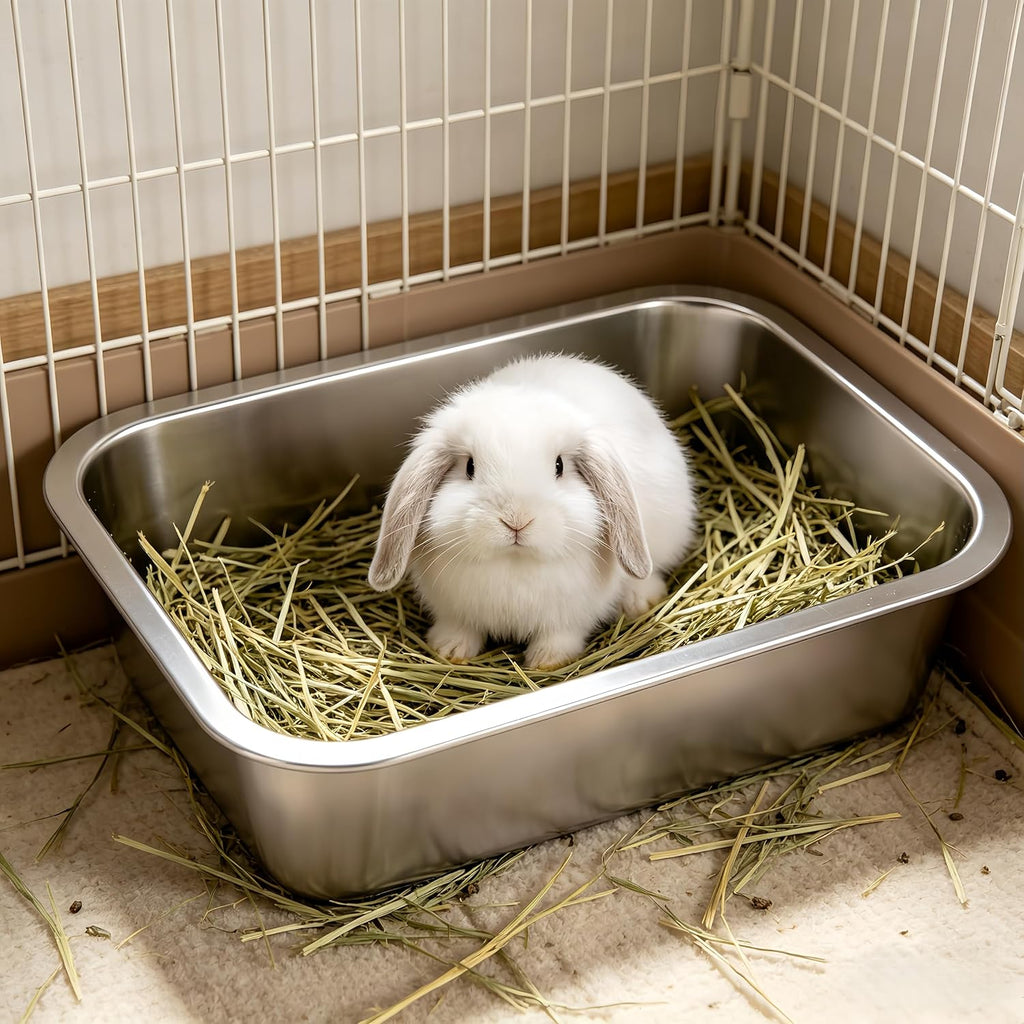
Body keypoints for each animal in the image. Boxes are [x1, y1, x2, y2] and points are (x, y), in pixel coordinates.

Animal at [367, 353, 697, 670]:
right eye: (470, 467)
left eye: (559, 466)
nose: (517, 520)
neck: (515, 563)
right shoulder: (455, 611)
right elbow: (460, 628)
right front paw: (449, 650)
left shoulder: (568, 618)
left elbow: (560, 636)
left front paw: (547, 661)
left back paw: (641, 600)